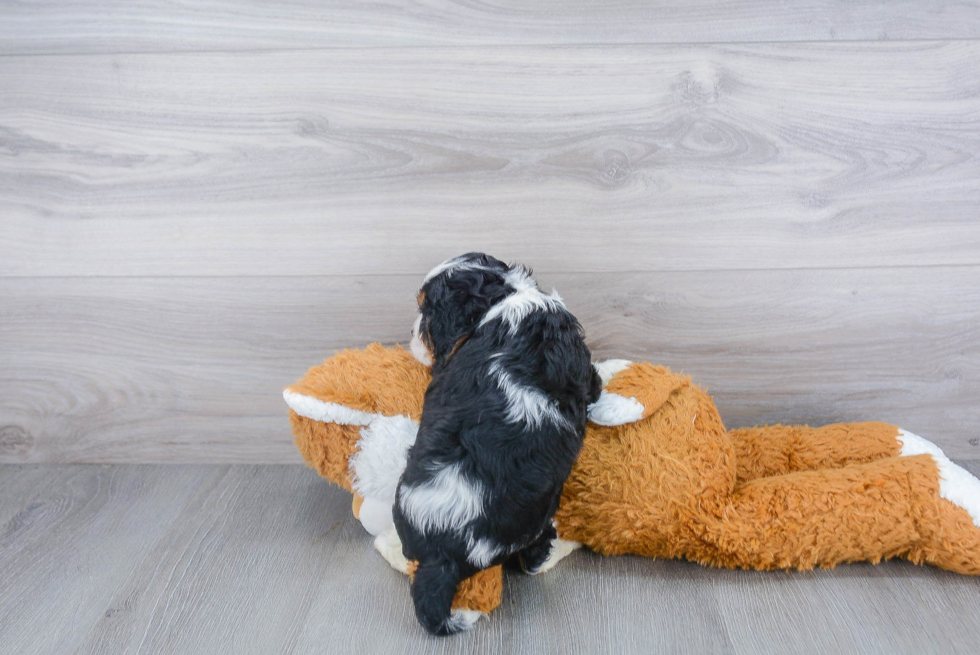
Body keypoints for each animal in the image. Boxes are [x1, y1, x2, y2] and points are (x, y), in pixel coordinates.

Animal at [394, 252, 600, 636]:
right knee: (532, 559)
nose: (411, 334)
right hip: (533, 518)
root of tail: (438, 556)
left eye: (425, 312)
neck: (505, 297)